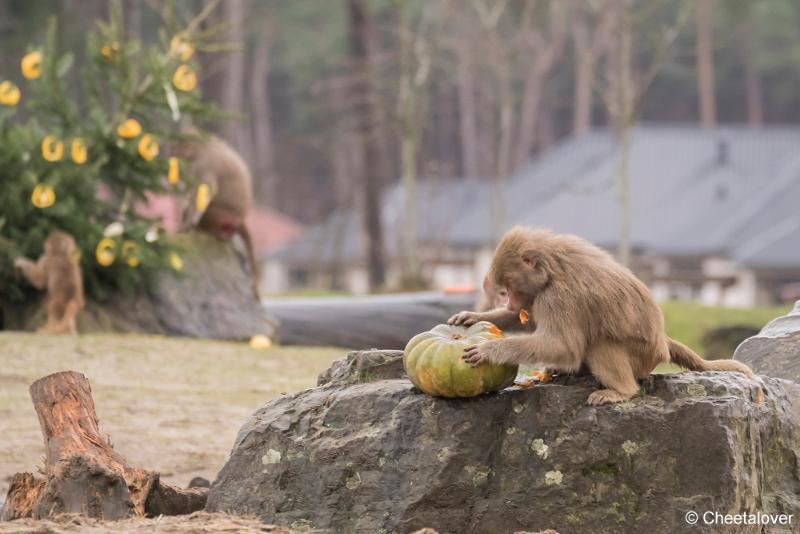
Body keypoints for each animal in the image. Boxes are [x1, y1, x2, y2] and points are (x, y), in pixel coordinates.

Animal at [177, 134, 260, 302]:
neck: (205, 146)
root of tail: (240, 220)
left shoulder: (205, 164)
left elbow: (203, 193)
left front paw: (186, 225)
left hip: (217, 217)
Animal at [450, 226, 756, 406]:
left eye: (510, 289)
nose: (512, 303)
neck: (552, 268)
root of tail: (662, 341)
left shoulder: (558, 297)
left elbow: (564, 345)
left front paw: (490, 350)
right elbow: (535, 323)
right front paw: (472, 317)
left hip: (642, 358)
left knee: (600, 343)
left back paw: (621, 391)